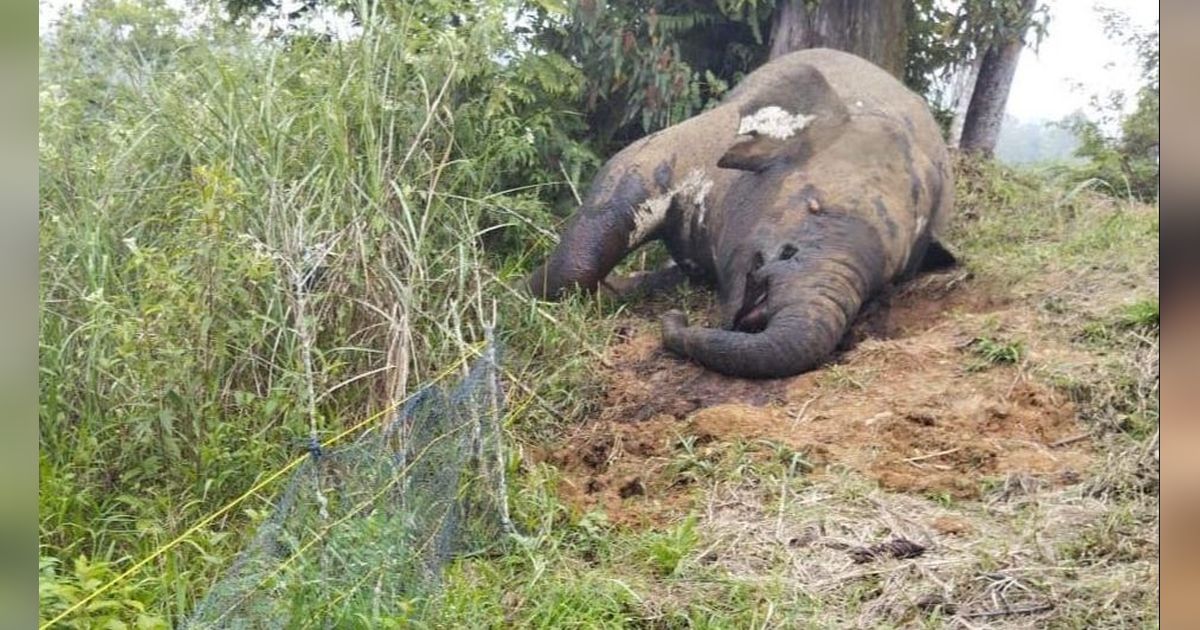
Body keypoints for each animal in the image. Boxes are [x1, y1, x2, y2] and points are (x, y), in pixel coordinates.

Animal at [525, 48, 955, 379]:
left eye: (885, 282)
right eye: (812, 205)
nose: (678, 318)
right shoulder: (696, 141)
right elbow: (621, 182)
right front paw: (521, 292)